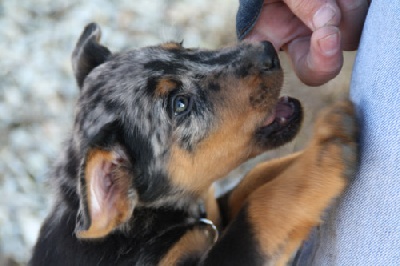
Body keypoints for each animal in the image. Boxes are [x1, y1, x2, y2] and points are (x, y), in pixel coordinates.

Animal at [29, 23, 358, 266]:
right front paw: (327, 150)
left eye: (181, 47)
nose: (267, 50)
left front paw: (312, 149)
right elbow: (258, 212)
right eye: (180, 104)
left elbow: (256, 177)